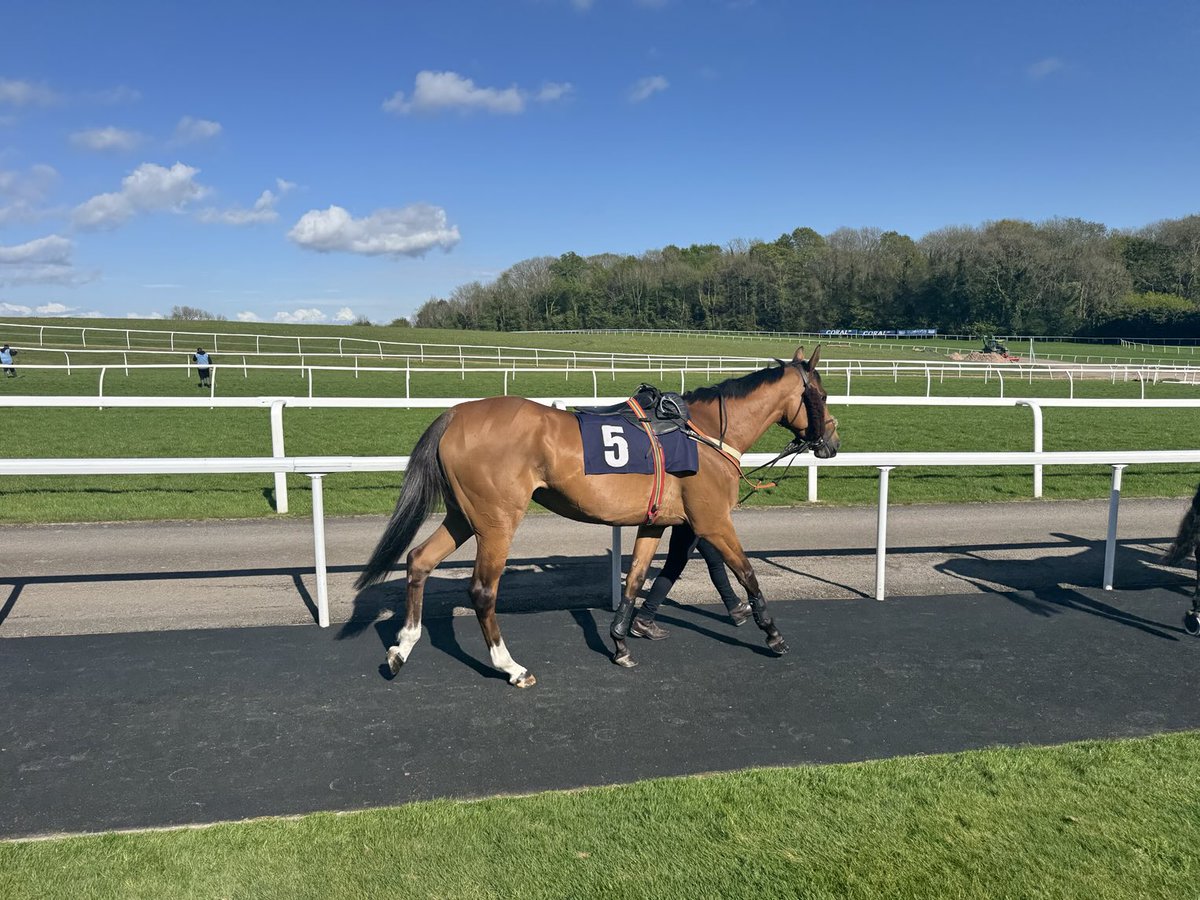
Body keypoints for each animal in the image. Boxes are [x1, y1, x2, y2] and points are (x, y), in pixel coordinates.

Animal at [354, 345, 840, 686]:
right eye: (821, 394)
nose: (831, 442)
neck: (703, 434)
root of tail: (455, 414)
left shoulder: (656, 522)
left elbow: (636, 578)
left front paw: (621, 641)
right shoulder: (713, 521)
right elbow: (747, 573)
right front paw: (772, 634)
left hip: (463, 516)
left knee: (419, 560)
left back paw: (401, 649)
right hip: (497, 521)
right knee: (482, 591)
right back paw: (511, 667)